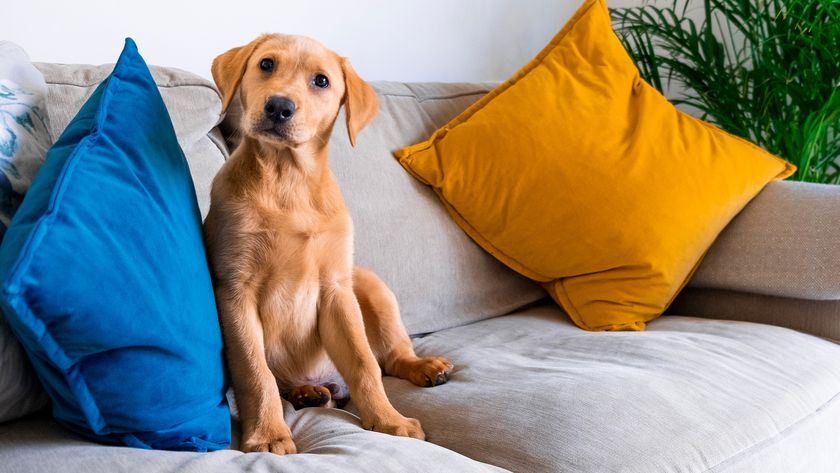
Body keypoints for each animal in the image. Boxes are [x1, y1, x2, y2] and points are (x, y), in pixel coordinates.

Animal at [203, 33, 452, 454]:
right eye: (266, 64)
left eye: (321, 81)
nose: (279, 107)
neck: (288, 179)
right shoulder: (235, 291)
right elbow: (255, 371)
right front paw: (268, 434)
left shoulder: (336, 289)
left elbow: (364, 363)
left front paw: (389, 420)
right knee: (282, 381)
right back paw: (307, 393)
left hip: (368, 283)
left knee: (389, 358)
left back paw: (422, 366)